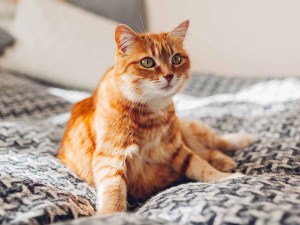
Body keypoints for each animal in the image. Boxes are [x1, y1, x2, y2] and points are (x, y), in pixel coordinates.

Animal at [56, 20, 255, 215]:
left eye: (176, 59)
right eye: (147, 62)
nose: (169, 75)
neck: (150, 113)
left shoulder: (175, 147)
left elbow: (200, 165)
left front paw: (225, 178)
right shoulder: (110, 158)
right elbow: (114, 191)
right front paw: (111, 215)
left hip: (190, 129)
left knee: (216, 142)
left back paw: (240, 144)